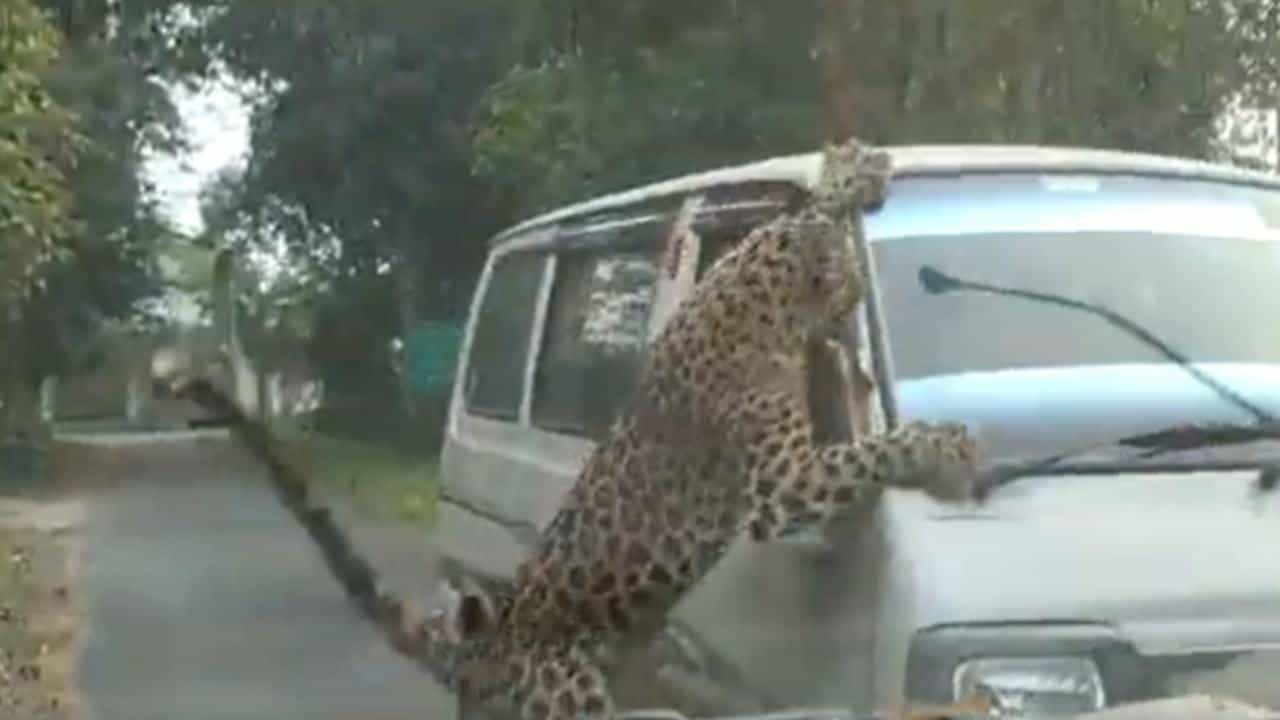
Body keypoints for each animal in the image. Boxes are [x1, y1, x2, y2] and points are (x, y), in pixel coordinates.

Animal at [437, 137, 985, 720]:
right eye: (857, 289)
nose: (854, 304)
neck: (762, 294)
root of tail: (493, 636)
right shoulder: (784, 485)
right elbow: (878, 447)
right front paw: (952, 446)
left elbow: (809, 209)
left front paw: (851, 169)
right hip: (569, 690)